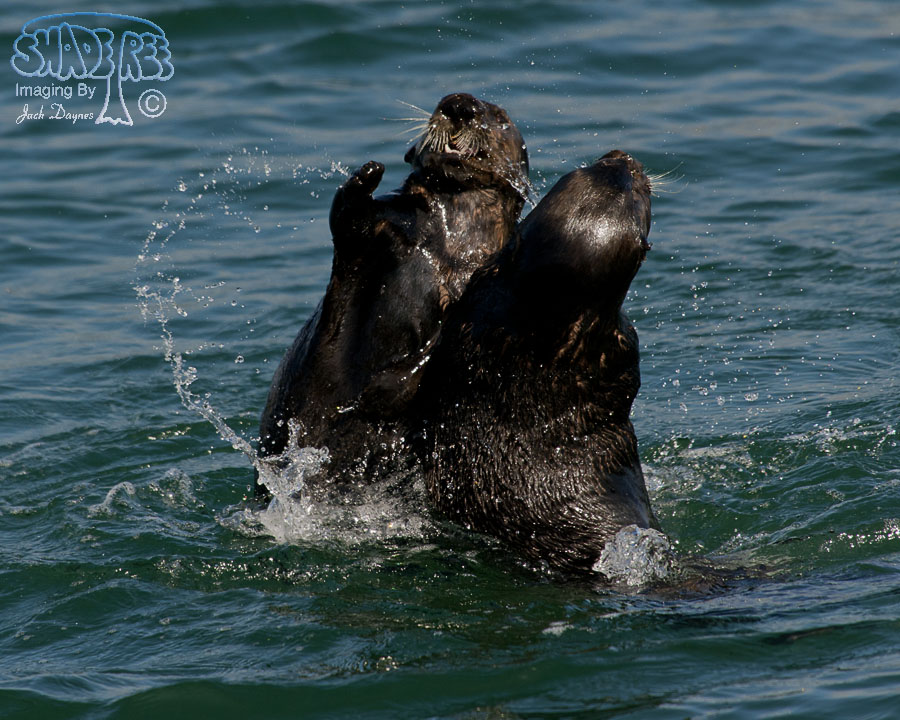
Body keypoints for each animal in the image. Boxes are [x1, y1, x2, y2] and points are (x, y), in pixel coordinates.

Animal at [256, 93, 529, 498]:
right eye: (444, 102)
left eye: (499, 117)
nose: (459, 104)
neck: (450, 239)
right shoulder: (389, 226)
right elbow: (349, 226)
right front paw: (367, 175)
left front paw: (385, 387)